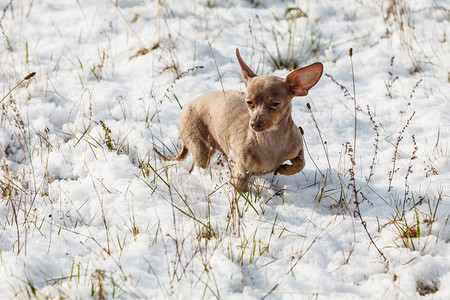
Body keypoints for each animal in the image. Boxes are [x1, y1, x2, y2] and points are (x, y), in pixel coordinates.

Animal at [156, 48, 324, 191]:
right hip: (200, 147)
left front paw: (284, 168)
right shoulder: (241, 172)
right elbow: (242, 190)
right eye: (249, 102)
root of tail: (187, 106)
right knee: (199, 165)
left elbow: (301, 164)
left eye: (275, 104)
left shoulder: (298, 149)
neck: (271, 141)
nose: (254, 124)